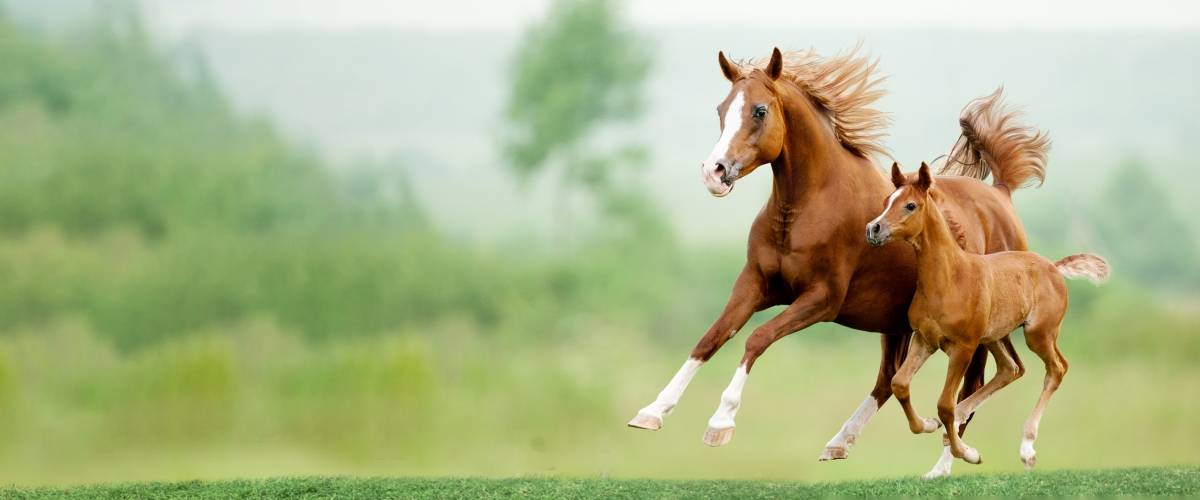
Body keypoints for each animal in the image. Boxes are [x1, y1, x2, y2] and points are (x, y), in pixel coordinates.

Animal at [628, 47, 1051, 474]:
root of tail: (1001, 195)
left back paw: (943, 466)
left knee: (971, 387)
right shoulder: (754, 285)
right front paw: (652, 411)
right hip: (896, 323)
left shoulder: (821, 299)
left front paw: (721, 422)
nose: (713, 173)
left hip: (975, 332)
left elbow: (756, 338)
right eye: (722, 108)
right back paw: (841, 442)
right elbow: (711, 338)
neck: (807, 207)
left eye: (760, 110)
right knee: (889, 380)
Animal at [864, 163, 1104, 472]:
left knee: (1057, 369)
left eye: (910, 205)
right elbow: (900, 384)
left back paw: (1027, 447)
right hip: (994, 337)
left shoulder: (963, 347)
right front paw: (928, 424)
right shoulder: (924, 340)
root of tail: (1053, 267)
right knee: (1009, 369)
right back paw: (959, 419)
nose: (874, 228)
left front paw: (968, 453)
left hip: (1037, 334)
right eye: (886, 202)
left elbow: (944, 404)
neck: (949, 278)